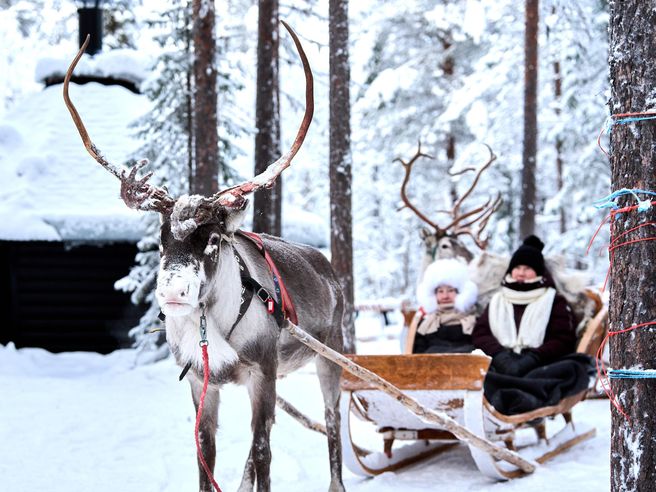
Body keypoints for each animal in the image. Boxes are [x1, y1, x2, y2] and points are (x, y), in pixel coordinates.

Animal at [63, 24, 345, 492]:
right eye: (160, 240)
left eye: (213, 240)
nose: (174, 292)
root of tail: (329, 269)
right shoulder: (200, 380)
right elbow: (205, 454)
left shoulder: (263, 371)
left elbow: (264, 452)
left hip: (330, 353)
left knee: (333, 421)